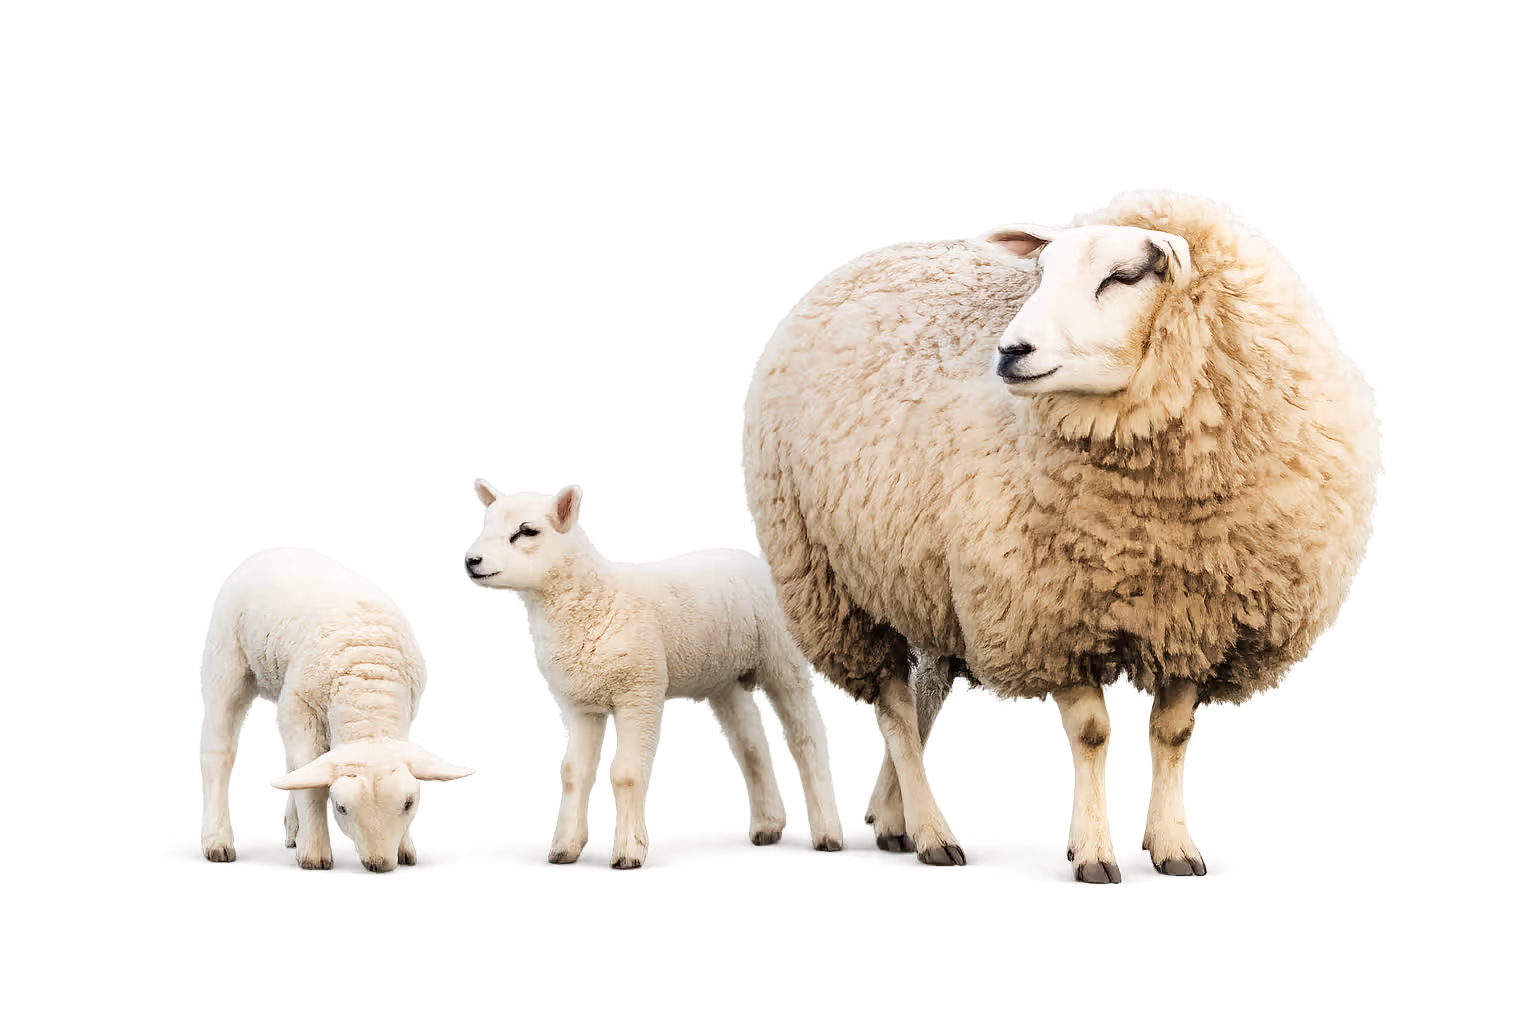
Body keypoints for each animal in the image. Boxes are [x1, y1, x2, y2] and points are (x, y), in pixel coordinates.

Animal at [200, 549, 476, 871]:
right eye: (341, 808)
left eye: (409, 803)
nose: (380, 864)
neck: (367, 689)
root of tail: (275, 549)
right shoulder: (301, 705)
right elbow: (312, 785)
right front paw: (314, 851)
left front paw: (404, 847)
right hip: (227, 659)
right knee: (220, 752)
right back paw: (217, 839)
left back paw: (293, 826)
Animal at [465, 481, 843, 868]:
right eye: (486, 524)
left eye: (527, 531)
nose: (471, 561)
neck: (597, 599)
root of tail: (754, 560)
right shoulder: (581, 702)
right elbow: (572, 773)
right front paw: (565, 847)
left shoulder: (640, 690)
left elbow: (626, 774)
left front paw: (629, 851)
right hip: (722, 680)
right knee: (752, 747)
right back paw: (768, 825)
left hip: (783, 659)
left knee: (807, 738)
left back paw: (827, 832)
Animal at [747, 193, 1376, 881]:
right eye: (1041, 274)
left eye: (1123, 277)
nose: (1009, 351)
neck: (1160, 517)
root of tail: (868, 260)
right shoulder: (1050, 612)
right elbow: (1092, 734)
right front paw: (1092, 851)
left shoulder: (1197, 615)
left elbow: (1173, 734)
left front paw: (1172, 845)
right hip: (833, 581)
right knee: (893, 705)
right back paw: (932, 832)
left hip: (930, 579)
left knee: (924, 698)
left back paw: (894, 819)